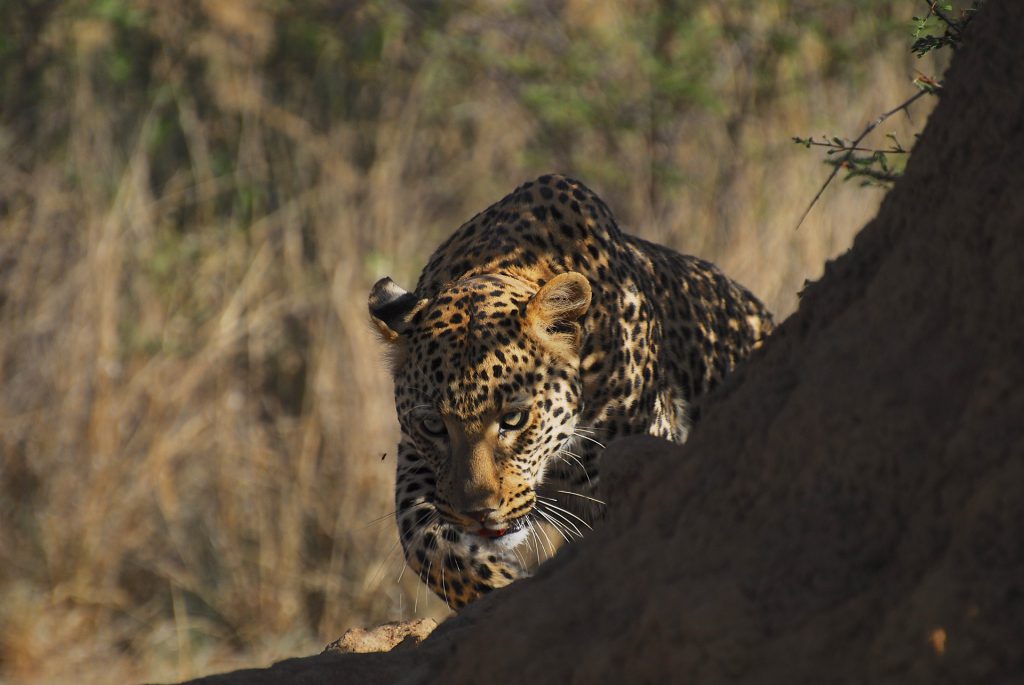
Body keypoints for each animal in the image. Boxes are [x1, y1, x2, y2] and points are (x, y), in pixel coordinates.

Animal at [368, 174, 773, 609]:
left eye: (514, 419)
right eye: (433, 426)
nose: (479, 514)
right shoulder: (416, 457)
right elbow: (420, 538)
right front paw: (501, 587)